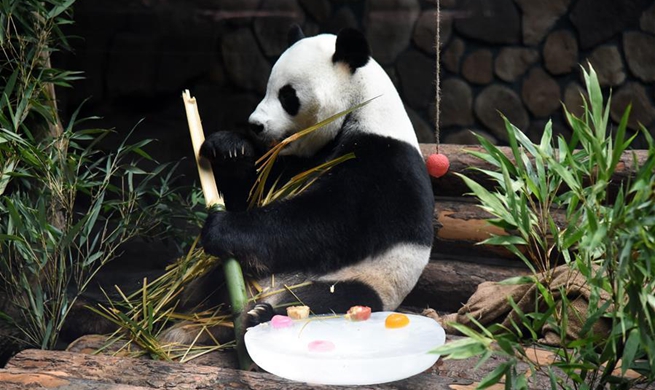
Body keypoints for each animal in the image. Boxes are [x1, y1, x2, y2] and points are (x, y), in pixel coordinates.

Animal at [186, 25, 436, 336]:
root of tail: (268, 290)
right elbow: (255, 190)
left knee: (334, 299)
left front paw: (222, 228)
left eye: (287, 96)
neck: (362, 106)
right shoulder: (301, 160)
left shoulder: (383, 165)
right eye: (268, 88)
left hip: (368, 280)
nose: (255, 125)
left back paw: (262, 314)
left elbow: (329, 220)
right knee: (209, 284)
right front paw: (228, 149)